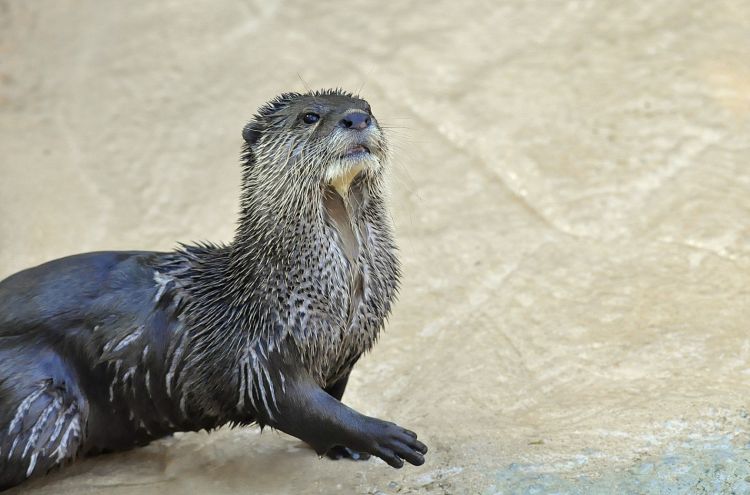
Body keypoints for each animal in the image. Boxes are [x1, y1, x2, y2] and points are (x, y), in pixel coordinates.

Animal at [0, 90, 426, 492]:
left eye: (367, 107)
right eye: (310, 116)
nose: (356, 119)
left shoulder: (344, 353)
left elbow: (328, 403)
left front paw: (346, 448)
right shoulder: (258, 352)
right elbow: (298, 404)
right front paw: (380, 434)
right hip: (41, 404)